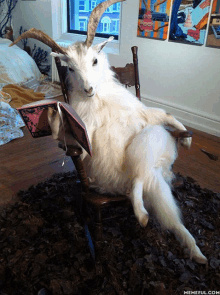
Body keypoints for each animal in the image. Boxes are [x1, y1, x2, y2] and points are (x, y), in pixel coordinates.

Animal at [10, 0, 206, 264]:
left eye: (94, 61)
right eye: (70, 68)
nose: (88, 88)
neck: (99, 100)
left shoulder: (142, 114)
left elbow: (165, 114)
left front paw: (186, 140)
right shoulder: (83, 136)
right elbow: (70, 144)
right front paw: (52, 115)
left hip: (150, 145)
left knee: (146, 186)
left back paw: (189, 247)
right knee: (141, 188)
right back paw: (158, 226)